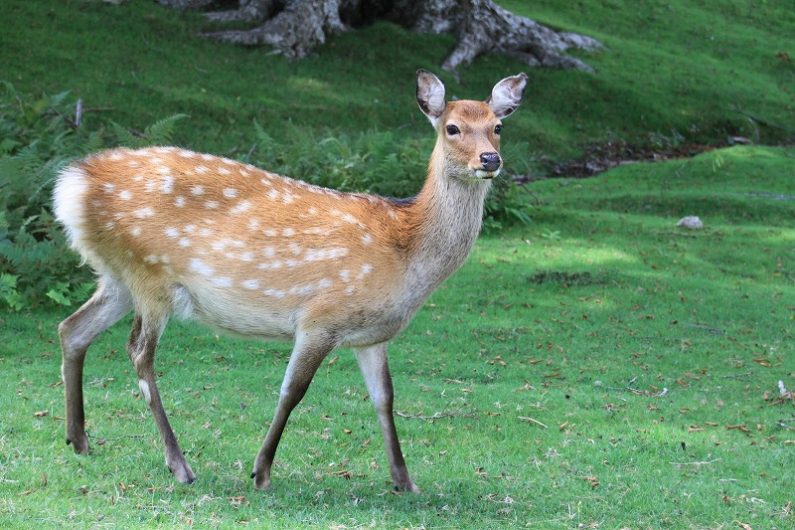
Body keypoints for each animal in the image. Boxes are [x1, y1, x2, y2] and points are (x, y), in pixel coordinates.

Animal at [54, 70, 528, 490]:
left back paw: (79, 440)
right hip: (151, 275)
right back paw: (179, 465)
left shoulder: (372, 334)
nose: (490, 159)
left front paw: (404, 480)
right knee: (138, 352)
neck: (405, 251)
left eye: (498, 126)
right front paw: (261, 472)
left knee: (72, 328)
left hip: (117, 277)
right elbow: (292, 390)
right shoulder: (321, 317)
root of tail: (72, 186)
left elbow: (385, 398)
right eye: (452, 128)